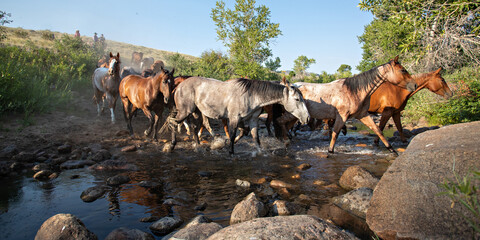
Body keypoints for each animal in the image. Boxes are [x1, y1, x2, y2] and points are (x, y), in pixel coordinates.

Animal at [169, 77, 312, 154]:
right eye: (297, 99)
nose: (307, 118)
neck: (251, 96)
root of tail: (179, 86)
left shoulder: (252, 120)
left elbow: (254, 137)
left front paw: (259, 152)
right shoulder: (234, 118)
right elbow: (233, 136)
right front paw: (230, 152)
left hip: (197, 113)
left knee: (194, 128)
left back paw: (198, 147)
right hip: (185, 111)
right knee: (173, 123)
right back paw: (172, 145)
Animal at [278, 55, 416, 156]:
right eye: (403, 70)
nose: (414, 85)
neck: (353, 92)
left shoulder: (362, 115)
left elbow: (378, 130)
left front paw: (392, 150)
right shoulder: (342, 116)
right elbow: (335, 133)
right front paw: (330, 151)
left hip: (295, 117)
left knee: (285, 126)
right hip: (292, 115)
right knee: (281, 123)